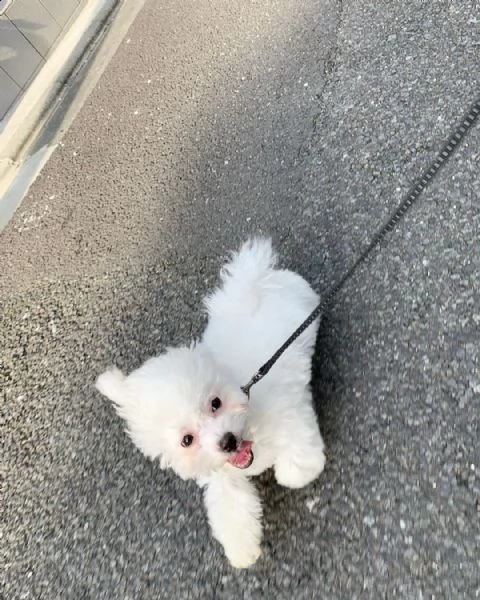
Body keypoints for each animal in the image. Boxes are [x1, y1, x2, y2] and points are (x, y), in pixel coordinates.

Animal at [95, 238, 324, 568]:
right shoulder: (223, 477)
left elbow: (297, 460)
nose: (227, 441)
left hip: (303, 305)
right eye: (187, 440)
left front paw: (294, 475)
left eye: (215, 403)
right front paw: (243, 551)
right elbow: (231, 508)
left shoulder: (289, 414)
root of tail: (250, 285)